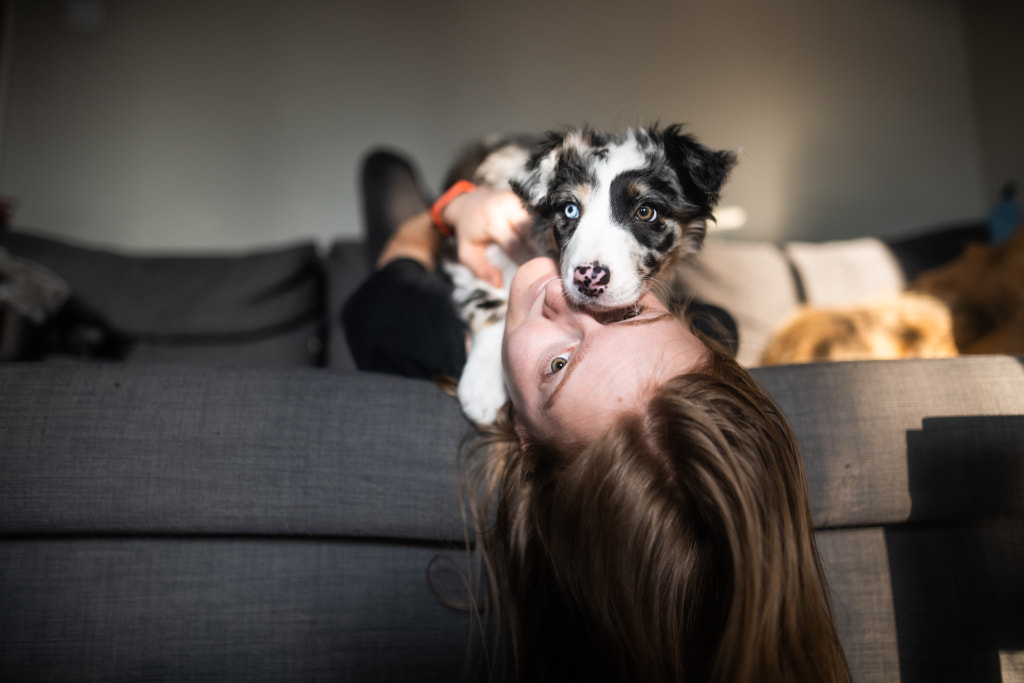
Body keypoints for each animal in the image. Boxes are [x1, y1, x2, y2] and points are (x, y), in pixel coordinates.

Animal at [442, 122, 737, 421]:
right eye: (570, 209)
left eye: (646, 211)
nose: (589, 279)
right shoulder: (475, 254)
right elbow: (491, 302)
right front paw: (484, 383)